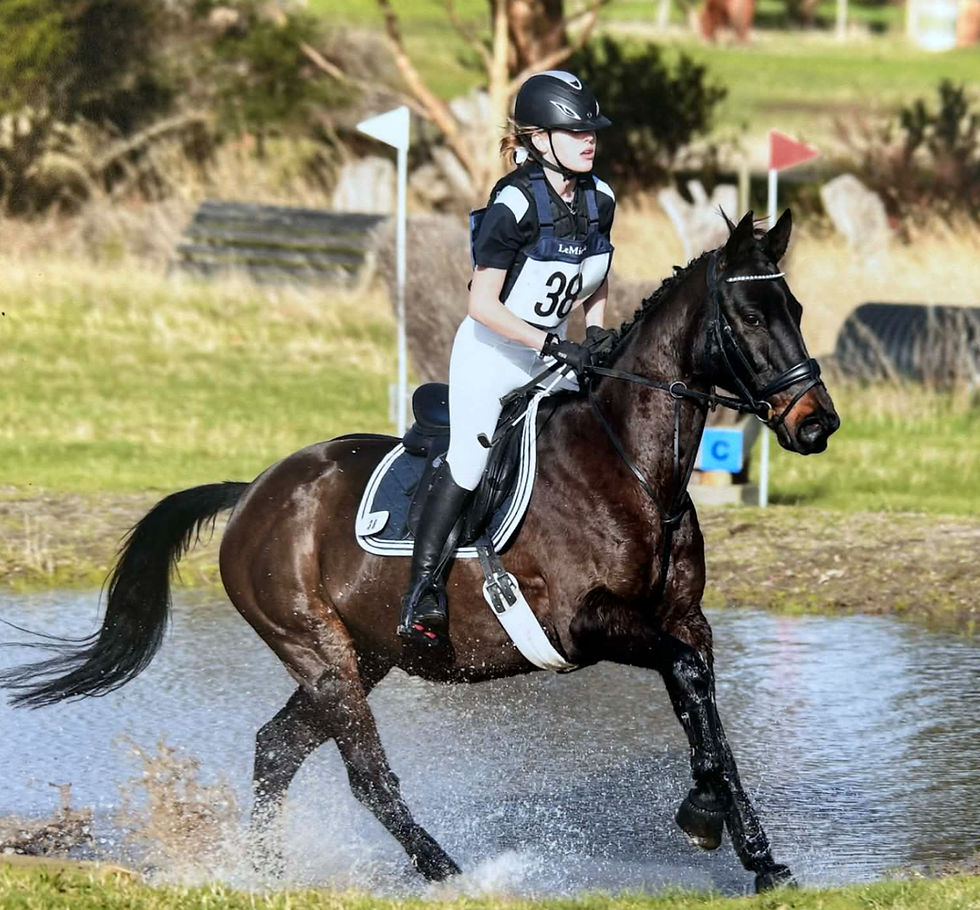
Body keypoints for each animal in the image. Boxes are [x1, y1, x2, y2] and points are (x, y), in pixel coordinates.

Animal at [1, 210, 839, 893]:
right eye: (750, 314)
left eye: (795, 309)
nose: (816, 422)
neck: (632, 466)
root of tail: (253, 492)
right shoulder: (590, 622)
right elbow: (692, 686)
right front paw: (704, 818)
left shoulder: (683, 620)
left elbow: (707, 711)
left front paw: (757, 855)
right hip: (319, 651)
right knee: (365, 774)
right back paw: (449, 872)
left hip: (364, 653)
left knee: (277, 749)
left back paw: (263, 871)